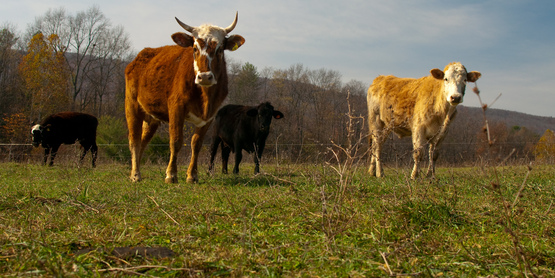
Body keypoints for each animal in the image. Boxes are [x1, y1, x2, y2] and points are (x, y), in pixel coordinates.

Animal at [128, 13, 248, 184]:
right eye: (195, 48)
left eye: (219, 49)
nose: (204, 76)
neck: (205, 96)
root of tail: (141, 55)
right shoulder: (176, 108)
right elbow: (176, 141)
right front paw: (171, 174)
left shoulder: (209, 116)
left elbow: (196, 143)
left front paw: (192, 175)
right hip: (132, 107)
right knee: (134, 140)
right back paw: (135, 174)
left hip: (151, 118)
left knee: (143, 141)